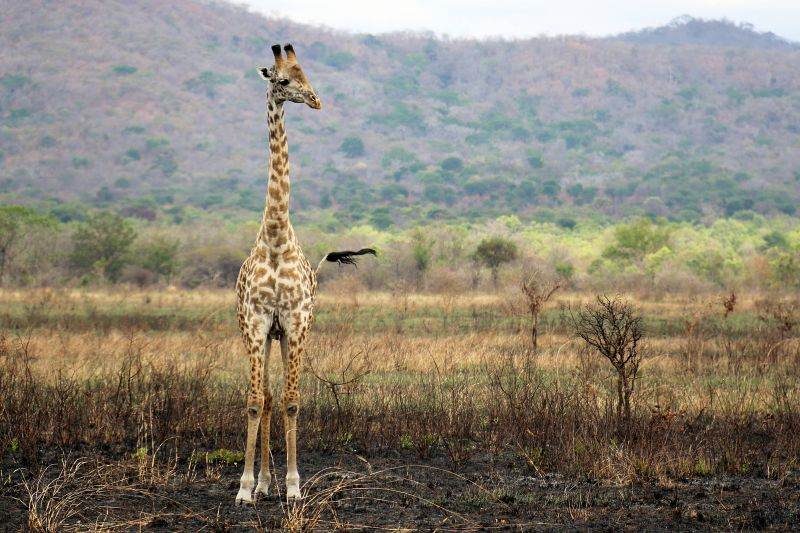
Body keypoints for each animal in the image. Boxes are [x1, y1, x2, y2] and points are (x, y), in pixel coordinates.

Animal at [236, 42, 376, 502]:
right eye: (282, 80)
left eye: (306, 76)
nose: (315, 100)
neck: (276, 238)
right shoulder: (257, 322)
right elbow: (254, 401)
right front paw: (245, 488)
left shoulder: (295, 322)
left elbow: (293, 401)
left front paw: (295, 486)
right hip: (266, 335)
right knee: (266, 396)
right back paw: (263, 483)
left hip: (288, 333)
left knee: (280, 396)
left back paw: (275, 483)